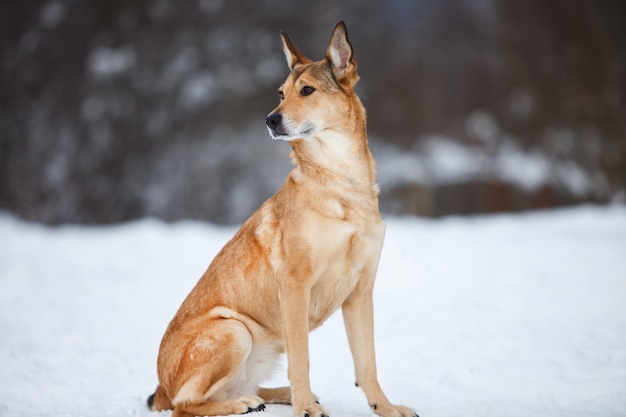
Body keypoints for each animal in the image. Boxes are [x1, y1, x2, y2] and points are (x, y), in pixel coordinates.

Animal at [149, 21, 416, 416]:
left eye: (307, 90)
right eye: (280, 93)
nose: (269, 120)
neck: (341, 184)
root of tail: (161, 388)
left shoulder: (360, 290)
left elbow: (367, 362)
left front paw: (385, 407)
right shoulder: (295, 285)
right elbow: (302, 358)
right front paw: (306, 409)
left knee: (238, 388)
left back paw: (276, 395)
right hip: (233, 331)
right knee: (187, 405)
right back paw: (248, 403)